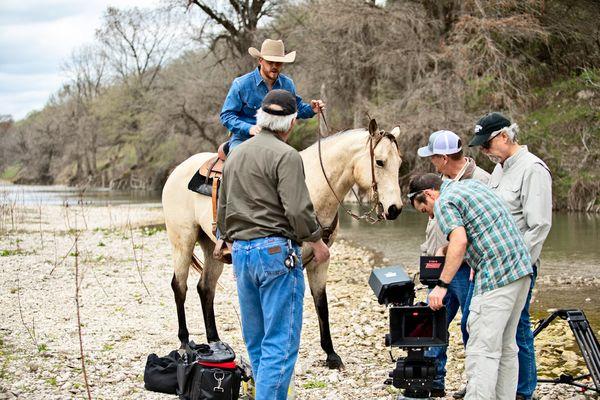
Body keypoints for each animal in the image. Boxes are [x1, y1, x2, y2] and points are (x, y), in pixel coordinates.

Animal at [161, 120, 404, 370]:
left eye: (399, 163)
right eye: (380, 161)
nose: (395, 209)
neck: (311, 188)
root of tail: (177, 170)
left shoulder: (321, 261)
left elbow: (321, 304)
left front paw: (331, 355)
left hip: (212, 249)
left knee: (205, 288)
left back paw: (215, 341)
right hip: (182, 242)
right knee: (179, 287)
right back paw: (185, 343)